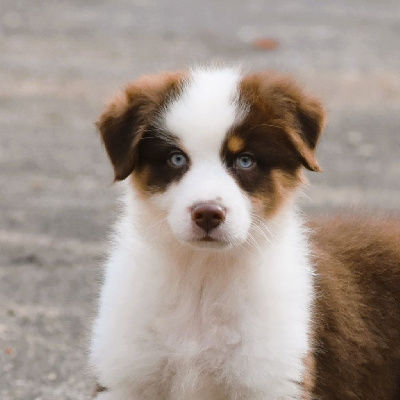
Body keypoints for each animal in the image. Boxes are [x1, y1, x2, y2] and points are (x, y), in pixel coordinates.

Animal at [90, 67, 400, 398]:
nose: (208, 214)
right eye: (176, 158)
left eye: (245, 160)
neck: (202, 278)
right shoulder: (126, 376)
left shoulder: (272, 379)